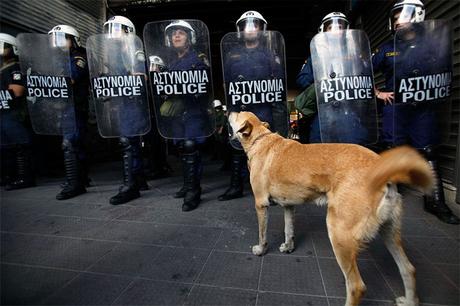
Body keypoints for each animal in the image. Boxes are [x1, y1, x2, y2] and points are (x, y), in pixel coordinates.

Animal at [230, 112, 434, 306]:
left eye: (238, 113)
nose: (228, 111)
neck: (260, 139)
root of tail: (382, 169)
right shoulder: (289, 206)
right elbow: (289, 230)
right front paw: (288, 247)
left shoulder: (261, 205)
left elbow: (262, 234)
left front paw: (261, 250)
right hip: (390, 232)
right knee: (408, 269)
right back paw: (409, 301)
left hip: (339, 233)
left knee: (356, 286)